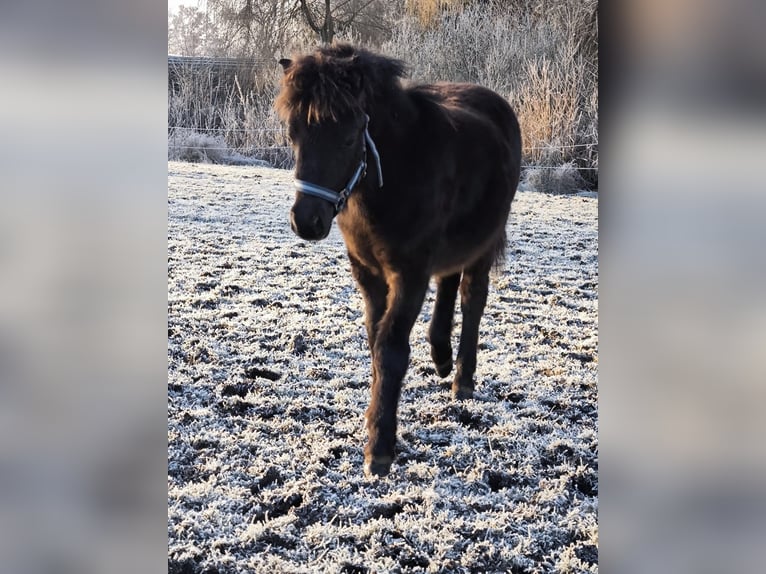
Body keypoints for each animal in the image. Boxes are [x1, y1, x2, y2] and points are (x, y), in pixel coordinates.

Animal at [276, 44, 520, 476]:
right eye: (294, 133)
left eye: (350, 137)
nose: (306, 221)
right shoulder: (367, 273)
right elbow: (376, 342)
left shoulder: (409, 274)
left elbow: (390, 349)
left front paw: (380, 449)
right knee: (449, 283)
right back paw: (440, 356)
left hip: (484, 242)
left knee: (472, 298)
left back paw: (462, 378)